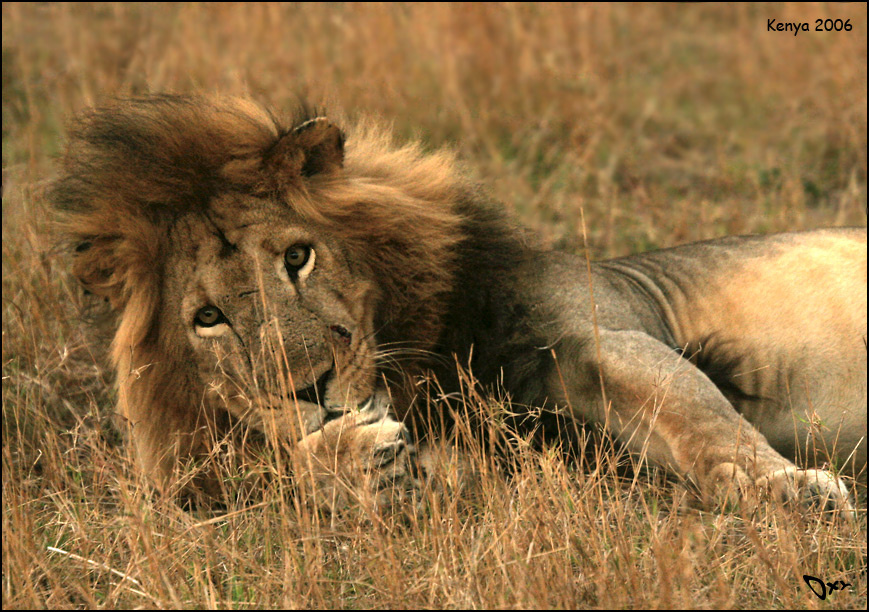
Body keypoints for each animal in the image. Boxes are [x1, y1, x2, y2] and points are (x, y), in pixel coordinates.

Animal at [51, 94, 865, 514]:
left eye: (296, 257)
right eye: (208, 318)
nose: (310, 389)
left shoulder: (593, 334)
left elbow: (697, 415)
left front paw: (787, 488)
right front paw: (352, 457)